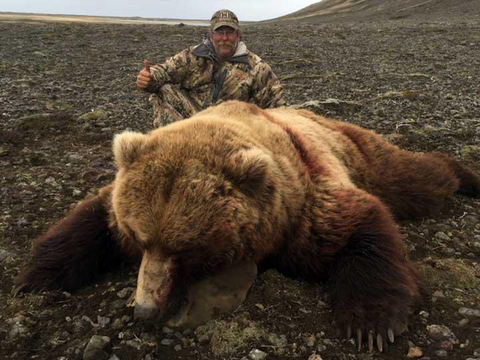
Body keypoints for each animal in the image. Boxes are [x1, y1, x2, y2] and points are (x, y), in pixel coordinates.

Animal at [15, 99, 480, 352]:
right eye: (138, 237)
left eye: (185, 248)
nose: (145, 309)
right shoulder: (116, 202)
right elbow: (90, 216)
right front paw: (34, 278)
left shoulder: (304, 204)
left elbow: (360, 225)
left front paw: (370, 325)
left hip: (358, 150)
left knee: (414, 178)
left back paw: (465, 175)